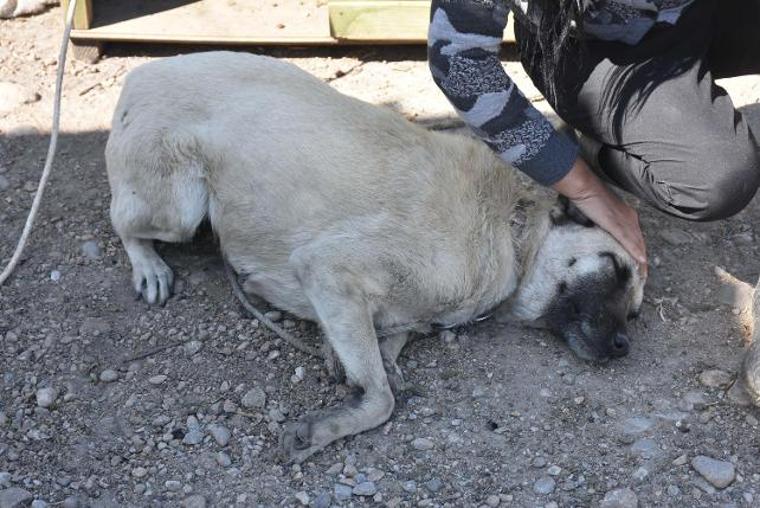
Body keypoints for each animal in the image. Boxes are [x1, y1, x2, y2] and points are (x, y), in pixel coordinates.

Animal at [104, 50, 644, 460]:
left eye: (637, 313)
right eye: (616, 269)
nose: (625, 347)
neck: (511, 225)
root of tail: (143, 72)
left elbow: (389, 346)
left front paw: (366, 357)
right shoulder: (330, 270)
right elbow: (382, 398)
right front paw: (326, 427)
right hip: (179, 208)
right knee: (123, 221)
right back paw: (148, 266)